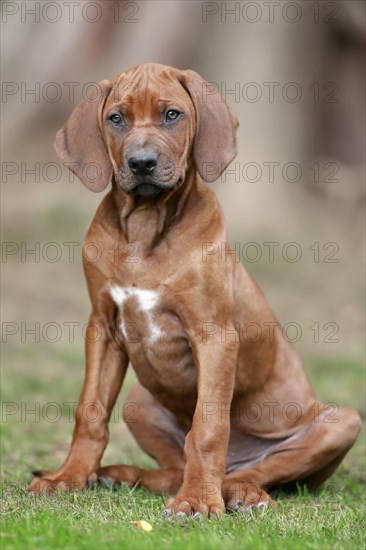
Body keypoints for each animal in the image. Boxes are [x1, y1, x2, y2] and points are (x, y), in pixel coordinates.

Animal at [27, 63, 362, 516]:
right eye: (116, 118)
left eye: (172, 115)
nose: (142, 163)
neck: (146, 228)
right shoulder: (103, 327)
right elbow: (91, 411)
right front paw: (69, 477)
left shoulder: (214, 336)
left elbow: (207, 426)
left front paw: (198, 501)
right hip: (139, 400)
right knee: (173, 470)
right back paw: (121, 476)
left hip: (341, 421)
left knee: (255, 470)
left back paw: (239, 491)